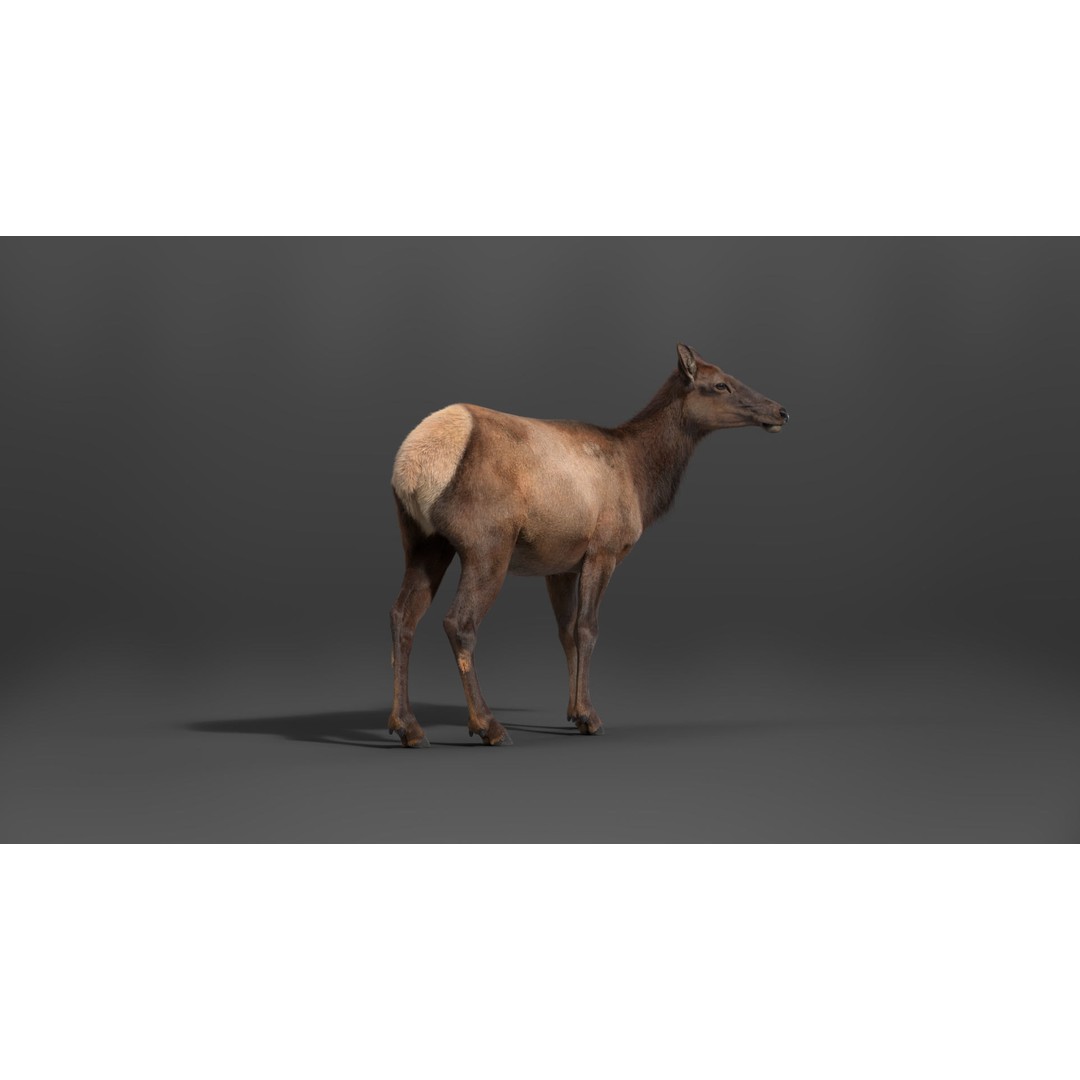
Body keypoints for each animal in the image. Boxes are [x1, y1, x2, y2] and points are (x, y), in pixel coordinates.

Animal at [388, 343, 788, 747]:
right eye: (721, 384)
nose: (780, 411)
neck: (640, 479)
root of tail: (411, 469)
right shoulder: (603, 549)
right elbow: (587, 628)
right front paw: (589, 716)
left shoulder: (560, 565)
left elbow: (566, 632)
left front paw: (572, 712)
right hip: (487, 547)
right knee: (459, 622)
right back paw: (488, 725)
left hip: (423, 542)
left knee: (403, 615)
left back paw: (407, 726)